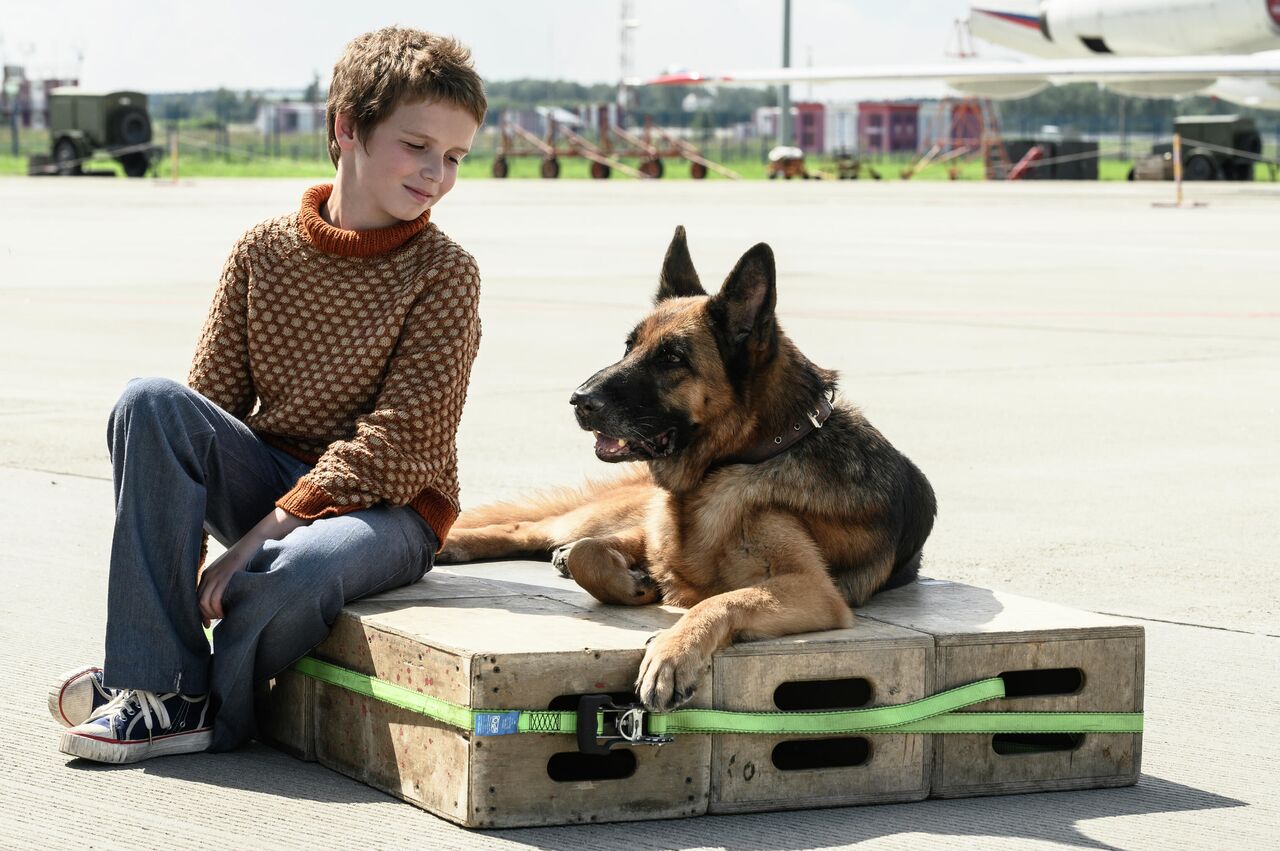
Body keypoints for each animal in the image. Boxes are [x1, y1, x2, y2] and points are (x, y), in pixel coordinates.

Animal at [435, 225, 936, 711]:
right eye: (629, 346)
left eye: (672, 358)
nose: (578, 399)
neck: (746, 455)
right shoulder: (650, 535)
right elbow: (589, 555)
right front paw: (631, 583)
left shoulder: (813, 590)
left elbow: (722, 600)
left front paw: (672, 654)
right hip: (606, 513)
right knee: (531, 528)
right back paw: (454, 543)